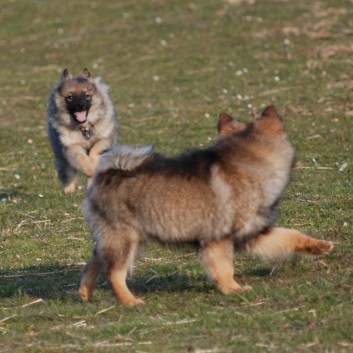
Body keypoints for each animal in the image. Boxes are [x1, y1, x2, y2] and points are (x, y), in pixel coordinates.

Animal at [78, 105, 332, 306]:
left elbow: (290, 236)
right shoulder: (218, 239)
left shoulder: (254, 234)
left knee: (93, 262)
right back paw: (130, 301)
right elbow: (225, 268)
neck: (248, 167)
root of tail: (107, 171)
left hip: (113, 238)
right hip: (124, 239)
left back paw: (85, 294)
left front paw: (318, 246)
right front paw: (233, 289)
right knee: (114, 273)